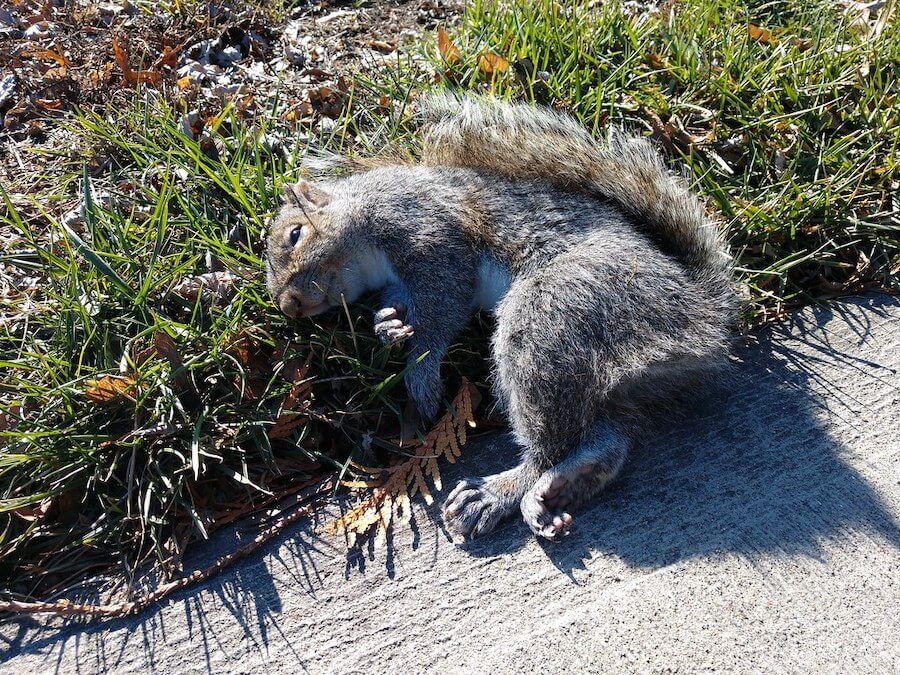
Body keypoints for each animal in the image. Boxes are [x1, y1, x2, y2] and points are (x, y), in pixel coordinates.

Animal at [266, 93, 736, 541]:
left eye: (295, 234)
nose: (288, 305)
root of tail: (704, 316)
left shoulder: (429, 232)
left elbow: (443, 304)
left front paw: (420, 372)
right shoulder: (400, 279)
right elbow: (404, 306)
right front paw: (388, 326)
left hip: (553, 312)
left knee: (551, 441)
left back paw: (498, 492)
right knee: (606, 436)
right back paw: (567, 482)